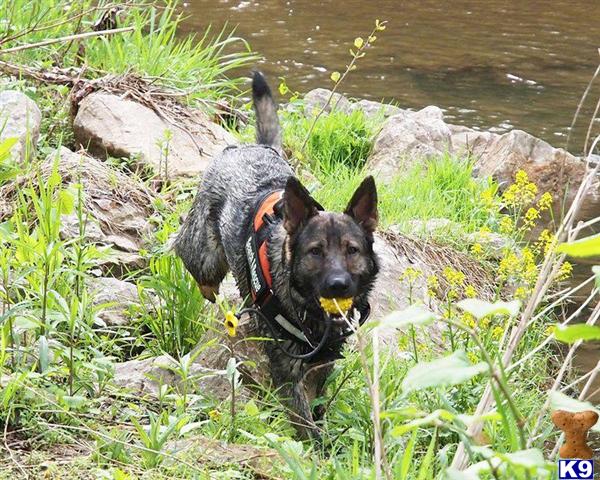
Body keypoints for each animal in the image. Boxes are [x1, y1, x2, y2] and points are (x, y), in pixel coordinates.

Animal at [175, 71, 380, 438]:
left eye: (351, 250)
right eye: (315, 251)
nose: (338, 285)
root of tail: (253, 146)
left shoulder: (322, 362)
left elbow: (318, 406)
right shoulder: (287, 367)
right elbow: (305, 421)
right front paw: (315, 448)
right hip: (206, 256)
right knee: (190, 258)